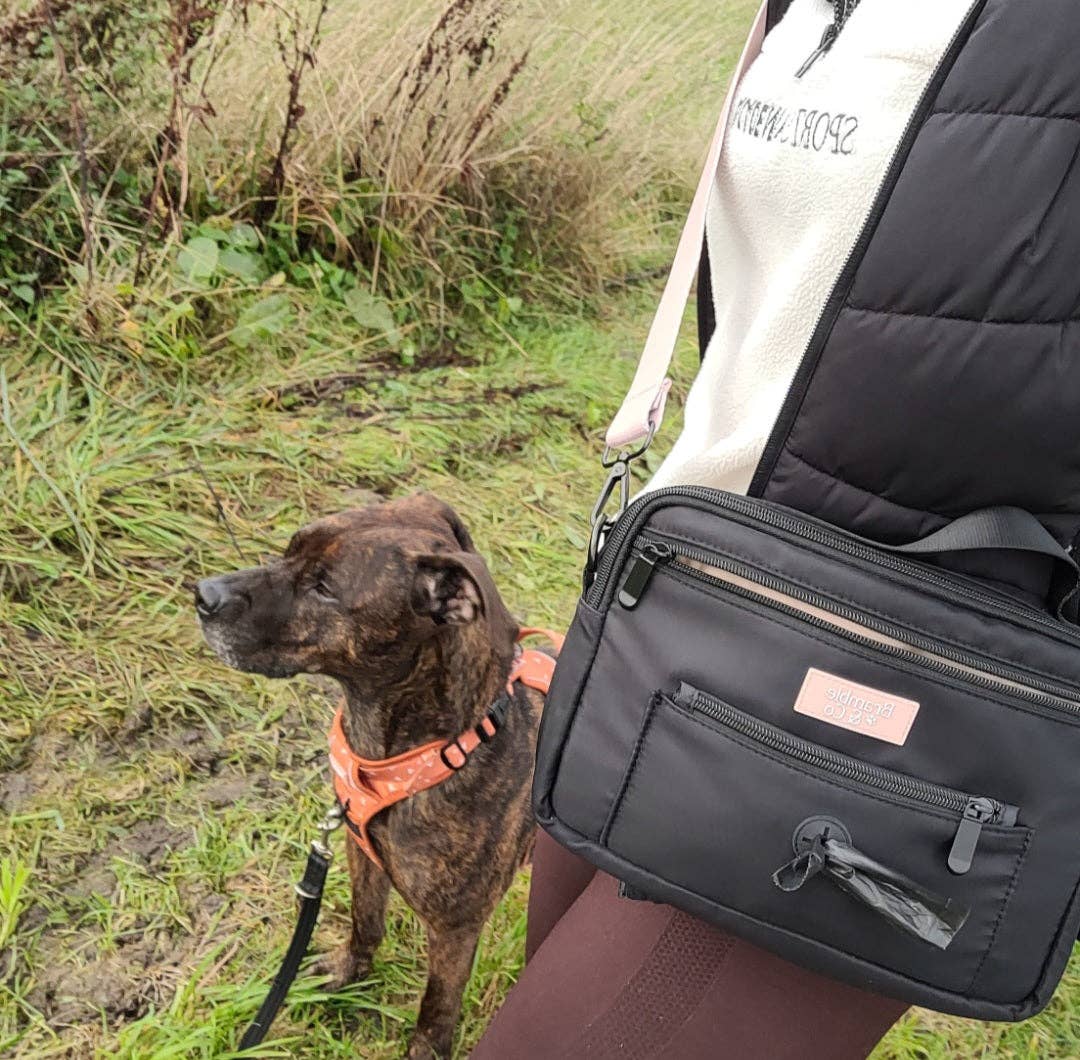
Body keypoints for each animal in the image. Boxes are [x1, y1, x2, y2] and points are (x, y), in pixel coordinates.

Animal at [194, 492, 540, 1054]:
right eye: (289, 550)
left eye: (324, 588)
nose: (202, 595)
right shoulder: (361, 852)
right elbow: (365, 920)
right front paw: (348, 969)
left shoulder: (455, 930)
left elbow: (436, 1007)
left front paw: (425, 1050)